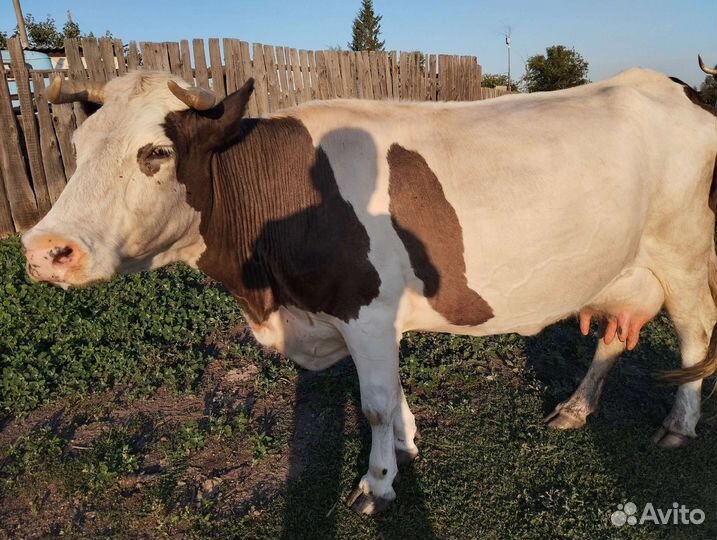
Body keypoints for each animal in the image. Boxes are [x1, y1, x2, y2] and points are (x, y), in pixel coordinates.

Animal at [22, 57, 717, 514]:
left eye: (155, 154)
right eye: (77, 148)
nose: (46, 250)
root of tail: (669, 84)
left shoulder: (366, 311)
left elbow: (376, 402)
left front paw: (377, 482)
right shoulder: (373, 318)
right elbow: (393, 393)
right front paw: (406, 449)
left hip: (684, 252)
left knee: (695, 334)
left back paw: (679, 426)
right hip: (624, 264)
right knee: (614, 334)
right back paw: (575, 408)